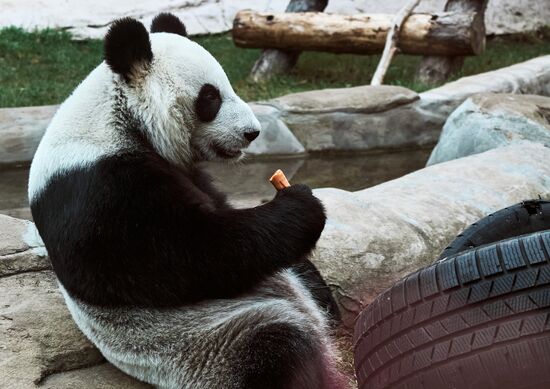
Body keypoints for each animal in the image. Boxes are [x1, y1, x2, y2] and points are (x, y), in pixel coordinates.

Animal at [29, 12, 344, 388]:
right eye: (210, 97)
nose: (252, 132)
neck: (118, 118)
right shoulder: (96, 188)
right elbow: (187, 254)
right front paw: (301, 206)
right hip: (206, 342)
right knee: (276, 348)